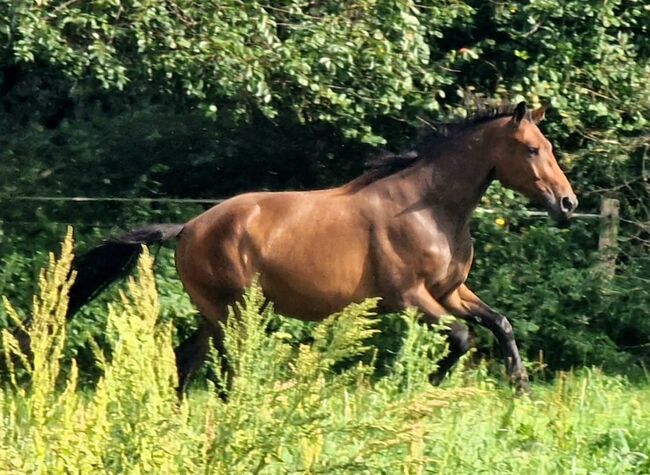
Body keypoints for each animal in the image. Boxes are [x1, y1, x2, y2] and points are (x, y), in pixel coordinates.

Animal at [67, 102, 576, 392]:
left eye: (548, 145)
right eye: (533, 149)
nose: (567, 204)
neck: (427, 208)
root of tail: (190, 227)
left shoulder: (450, 292)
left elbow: (499, 324)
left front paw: (520, 388)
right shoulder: (409, 298)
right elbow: (461, 337)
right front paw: (422, 387)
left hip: (215, 314)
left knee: (186, 359)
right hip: (232, 313)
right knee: (226, 364)